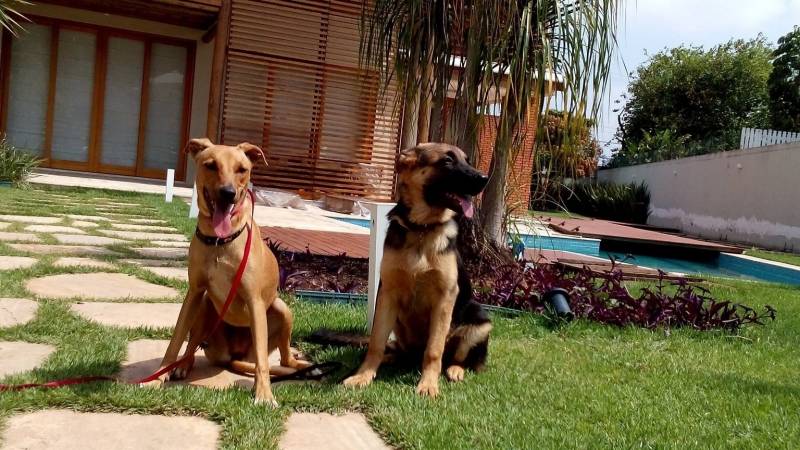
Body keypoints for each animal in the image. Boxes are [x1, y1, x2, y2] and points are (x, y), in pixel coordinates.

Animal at [148, 137, 310, 404]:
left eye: (242, 169)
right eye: (211, 165)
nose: (228, 193)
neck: (219, 242)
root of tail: (232, 356)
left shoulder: (255, 301)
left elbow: (263, 361)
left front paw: (263, 393)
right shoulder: (194, 292)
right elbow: (176, 340)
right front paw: (159, 375)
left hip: (281, 309)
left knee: (283, 357)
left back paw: (298, 364)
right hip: (205, 306)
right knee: (192, 343)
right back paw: (183, 365)